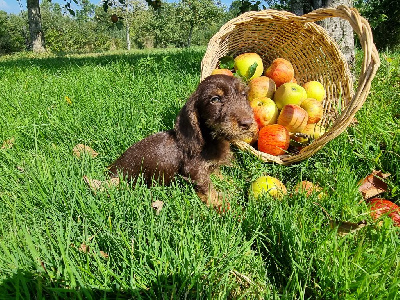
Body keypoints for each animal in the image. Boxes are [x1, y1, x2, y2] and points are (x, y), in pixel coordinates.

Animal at [108, 74, 260, 210]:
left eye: (243, 95)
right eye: (215, 99)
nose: (248, 123)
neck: (209, 140)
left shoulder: (210, 167)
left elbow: (219, 175)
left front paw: (231, 183)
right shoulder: (194, 172)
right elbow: (209, 190)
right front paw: (226, 207)